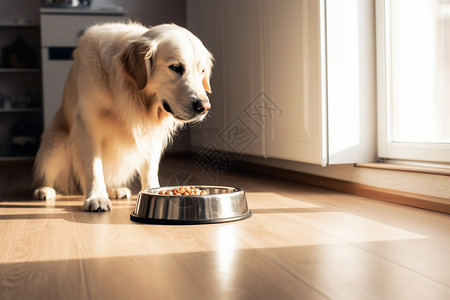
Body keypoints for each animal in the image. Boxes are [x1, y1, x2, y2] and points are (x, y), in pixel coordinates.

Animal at [33, 22, 213, 211]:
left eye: (202, 71)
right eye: (175, 67)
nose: (204, 107)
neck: (131, 91)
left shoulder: (151, 135)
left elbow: (150, 168)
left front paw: (153, 191)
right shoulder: (87, 126)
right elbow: (93, 167)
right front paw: (96, 197)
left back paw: (115, 189)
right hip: (56, 144)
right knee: (51, 173)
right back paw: (45, 190)